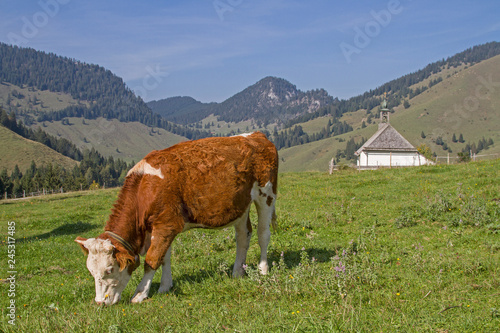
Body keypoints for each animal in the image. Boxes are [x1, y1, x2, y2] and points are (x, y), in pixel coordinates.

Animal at [75, 131, 278, 304]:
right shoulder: (163, 226)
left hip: (266, 194)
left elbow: (152, 260)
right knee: (243, 236)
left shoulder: (166, 224)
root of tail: (256, 135)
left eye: (109, 269)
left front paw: (140, 294)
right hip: (241, 205)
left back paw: (263, 269)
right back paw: (237, 272)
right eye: (90, 271)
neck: (145, 189)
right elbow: (164, 257)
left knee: (263, 234)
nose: (100, 302)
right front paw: (165, 286)